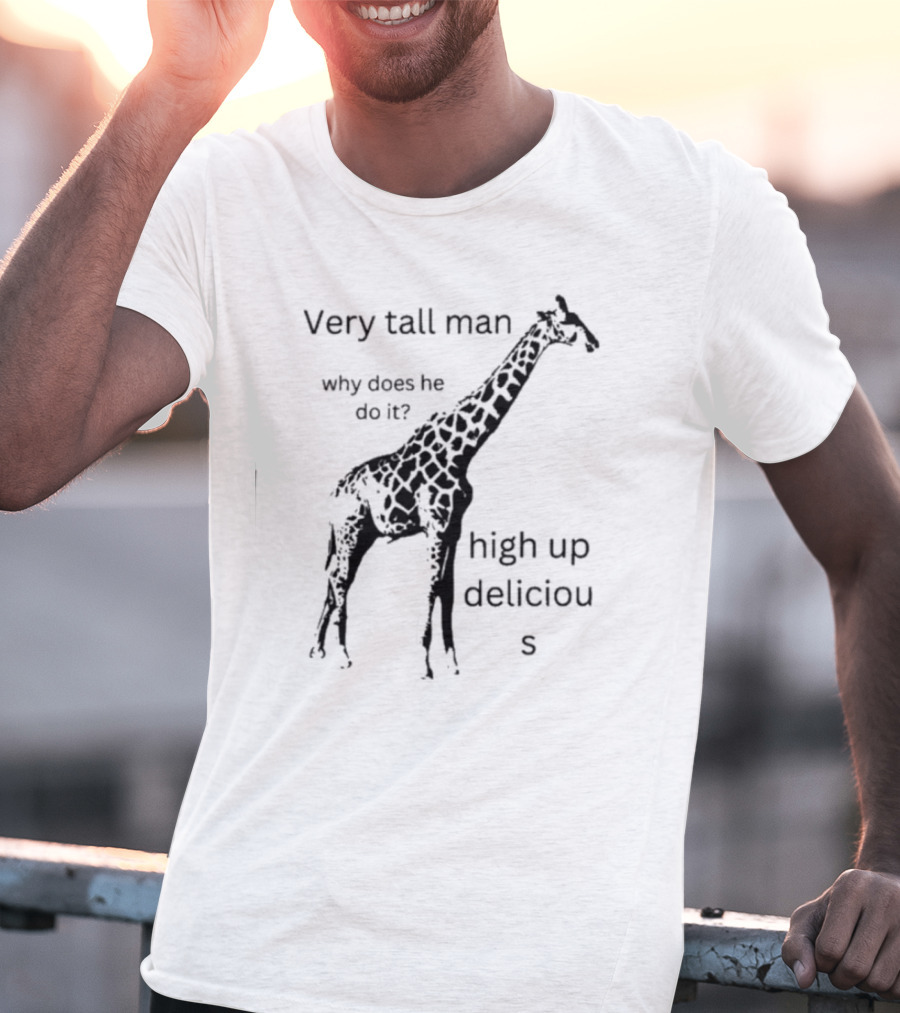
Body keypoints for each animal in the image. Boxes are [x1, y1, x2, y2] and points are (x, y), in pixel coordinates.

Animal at [310, 295, 598, 679]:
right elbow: (431, 586)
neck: (462, 449)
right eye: (568, 322)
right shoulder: (434, 525)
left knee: (335, 576)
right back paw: (342, 654)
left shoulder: (455, 527)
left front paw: (452, 661)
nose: (594, 343)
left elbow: (448, 589)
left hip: (363, 534)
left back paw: (317, 648)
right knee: (340, 579)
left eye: (578, 318)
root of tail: (333, 495)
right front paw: (424, 664)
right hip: (349, 530)